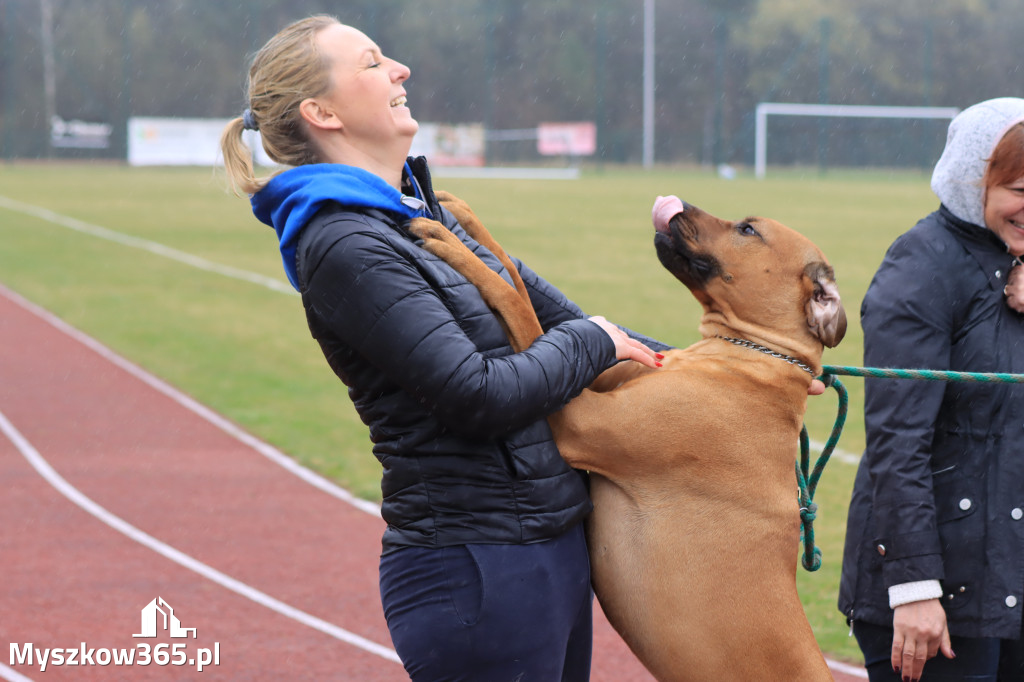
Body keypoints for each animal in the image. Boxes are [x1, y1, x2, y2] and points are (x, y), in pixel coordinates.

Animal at [409, 191, 847, 679]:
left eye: (748, 230)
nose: (678, 202)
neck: (751, 355)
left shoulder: (578, 418)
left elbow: (516, 301)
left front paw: (449, 243)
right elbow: (513, 274)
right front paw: (462, 218)